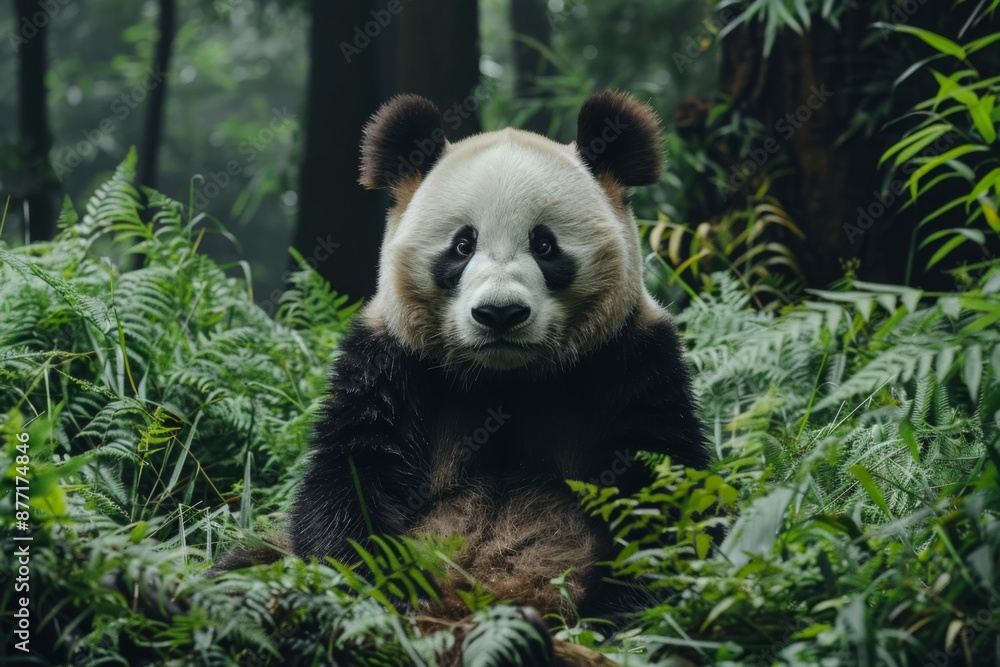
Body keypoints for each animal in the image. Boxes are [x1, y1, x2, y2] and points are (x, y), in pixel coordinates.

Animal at [281, 90, 710, 619]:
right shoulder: (393, 360)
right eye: (463, 244)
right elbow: (353, 475)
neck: (507, 379)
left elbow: (662, 488)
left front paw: (625, 610)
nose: (500, 313)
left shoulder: (629, 358)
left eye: (545, 244)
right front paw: (380, 594)